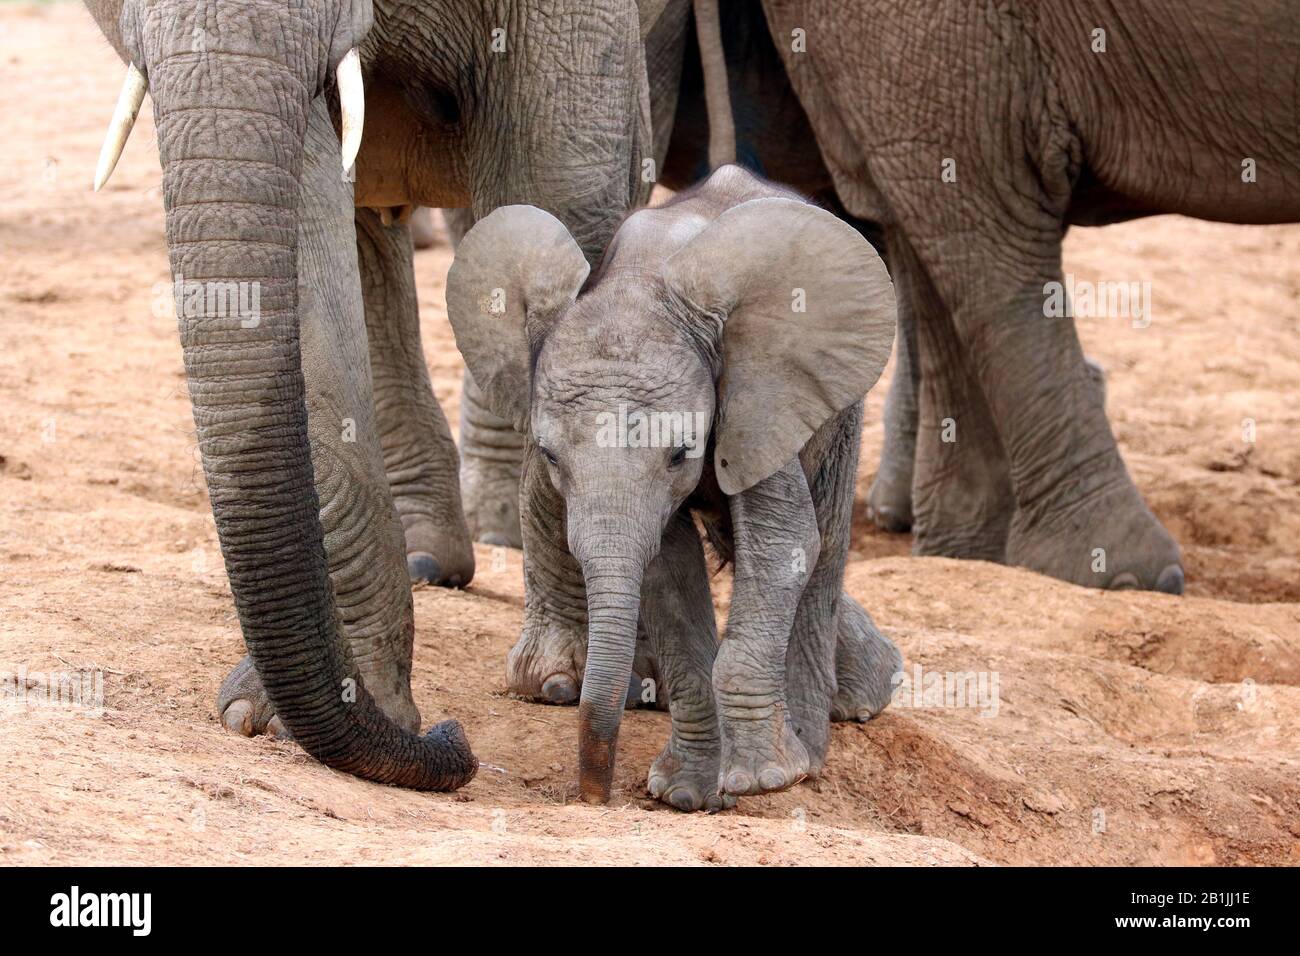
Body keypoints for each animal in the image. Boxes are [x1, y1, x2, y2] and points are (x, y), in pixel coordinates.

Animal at [86, 0, 655, 790]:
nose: (456, 740)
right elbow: (309, 220)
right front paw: (278, 716)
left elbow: (560, 186)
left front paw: (563, 681)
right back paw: (430, 562)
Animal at [452, 167, 899, 811]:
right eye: (551, 456)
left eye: (680, 453)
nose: (592, 797)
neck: (642, 282)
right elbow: (666, 570)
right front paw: (688, 795)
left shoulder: (758, 391)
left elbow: (782, 544)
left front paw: (759, 781)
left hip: (836, 400)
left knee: (825, 540)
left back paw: (816, 750)